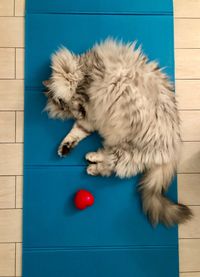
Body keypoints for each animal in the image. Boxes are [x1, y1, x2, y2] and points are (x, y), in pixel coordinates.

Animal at [43, 37, 192, 225]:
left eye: (64, 103)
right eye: (64, 108)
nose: (75, 112)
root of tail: (174, 149)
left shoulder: (87, 94)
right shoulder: (89, 120)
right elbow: (75, 133)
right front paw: (64, 148)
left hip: (130, 148)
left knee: (113, 165)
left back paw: (91, 164)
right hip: (129, 150)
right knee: (111, 163)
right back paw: (91, 159)